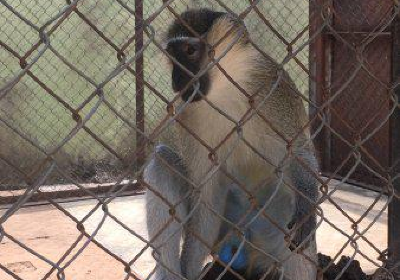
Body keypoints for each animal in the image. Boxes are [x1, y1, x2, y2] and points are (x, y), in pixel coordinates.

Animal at [144, 7, 318, 280]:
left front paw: (306, 209)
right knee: (162, 161)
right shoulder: (186, 113)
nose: (177, 80)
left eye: (190, 51)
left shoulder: (273, 86)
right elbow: (205, 197)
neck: (225, 88)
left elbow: (298, 151)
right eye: (173, 55)